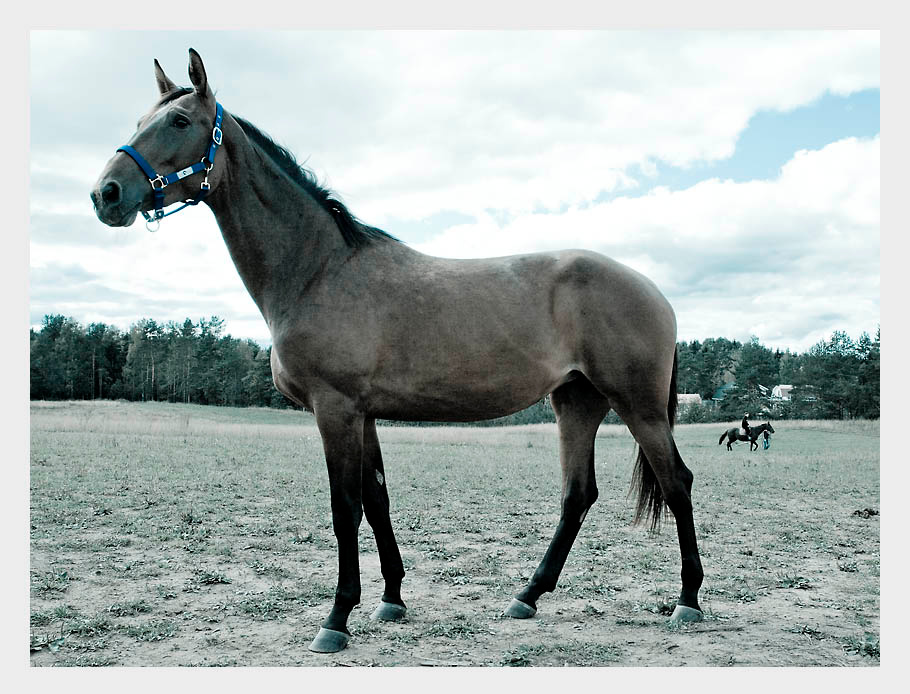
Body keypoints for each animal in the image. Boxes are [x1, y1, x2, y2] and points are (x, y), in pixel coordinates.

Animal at [90, 49, 705, 654]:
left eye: (179, 121)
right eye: (139, 121)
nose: (106, 194)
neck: (318, 271)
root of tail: (653, 290)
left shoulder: (335, 409)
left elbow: (344, 508)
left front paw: (336, 618)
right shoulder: (364, 414)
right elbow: (376, 500)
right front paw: (390, 599)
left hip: (638, 407)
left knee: (677, 483)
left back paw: (688, 601)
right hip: (576, 402)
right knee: (578, 494)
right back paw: (527, 596)